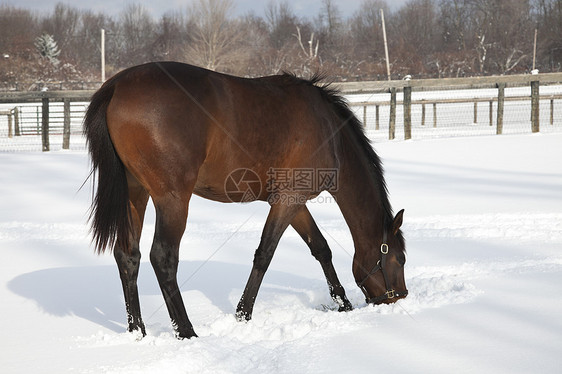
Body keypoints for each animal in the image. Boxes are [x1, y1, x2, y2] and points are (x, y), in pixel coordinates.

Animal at [83, 62, 404, 338]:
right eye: (399, 258)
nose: (399, 298)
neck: (330, 133)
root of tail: (116, 86)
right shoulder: (289, 200)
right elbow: (265, 254)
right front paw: (243, 314)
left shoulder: (293, 202)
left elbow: (321, 249)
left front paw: (343, 303)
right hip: (172, 199)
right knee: (163, 257)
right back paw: (186, 331)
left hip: (135, 194)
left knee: (128, 256)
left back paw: (137, 330)